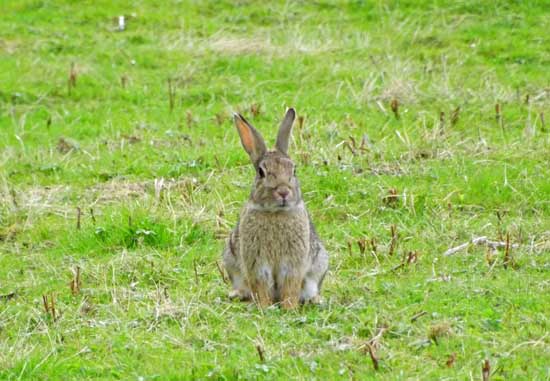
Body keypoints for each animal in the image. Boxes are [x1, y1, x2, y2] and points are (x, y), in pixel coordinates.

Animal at [223, 107, 330, 308]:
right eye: (261, 172)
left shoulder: (293, 263)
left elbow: (290, 285)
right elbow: (261, 284)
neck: (275, 213)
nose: (283, 192)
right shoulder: (257, 263)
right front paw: (264, 307)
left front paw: (289, 307)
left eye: (294, 170)